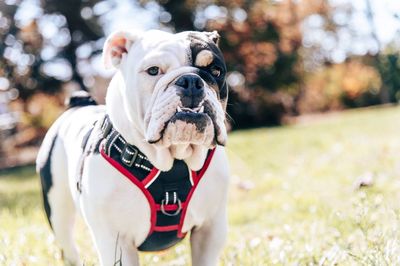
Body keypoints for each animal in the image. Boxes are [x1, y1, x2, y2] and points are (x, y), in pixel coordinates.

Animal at [37, 29, 231, 266]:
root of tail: (78, 105)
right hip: (58, 210)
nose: (192, 80)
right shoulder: (115, 241)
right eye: (153, 70)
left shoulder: (210, 230)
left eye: (216, 71)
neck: (171, 164)